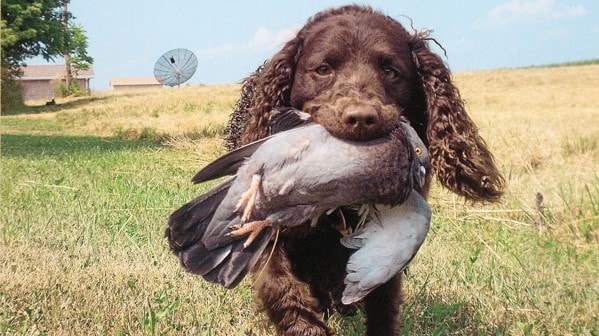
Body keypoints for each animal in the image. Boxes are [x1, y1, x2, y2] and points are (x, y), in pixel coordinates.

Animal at [220, 5, 502, 336]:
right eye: (323, 69)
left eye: (391, 71)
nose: (361, 118)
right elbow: (282, 290)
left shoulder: (387, 247)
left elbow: (382, 305)